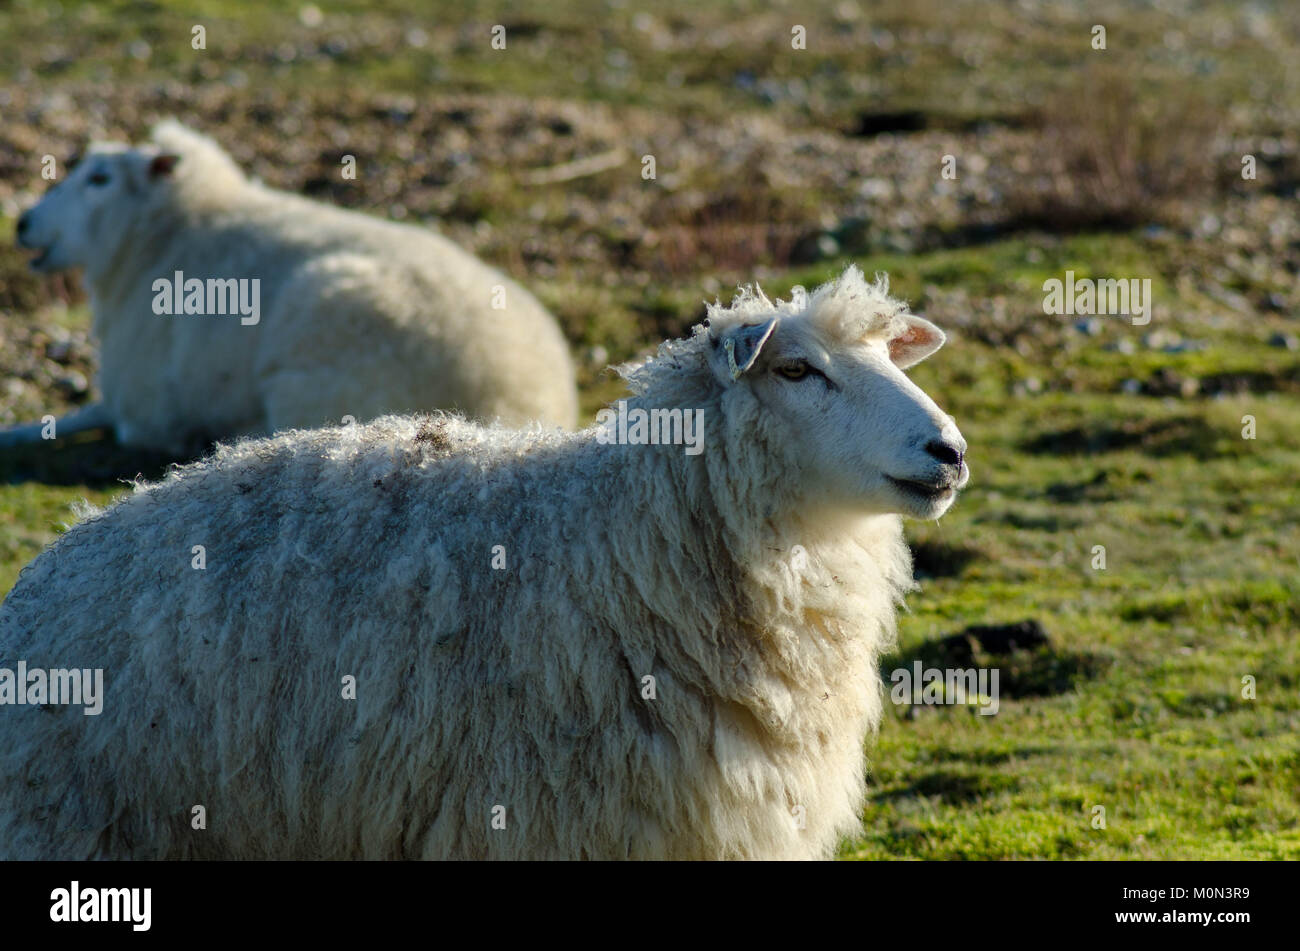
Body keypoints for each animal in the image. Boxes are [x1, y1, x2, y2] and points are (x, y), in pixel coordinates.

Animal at [3, 118, 574, 452]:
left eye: (99, 179)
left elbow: (105, 417)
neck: (168, 231)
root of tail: (524, 401)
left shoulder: (145, 405)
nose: (23, 223)